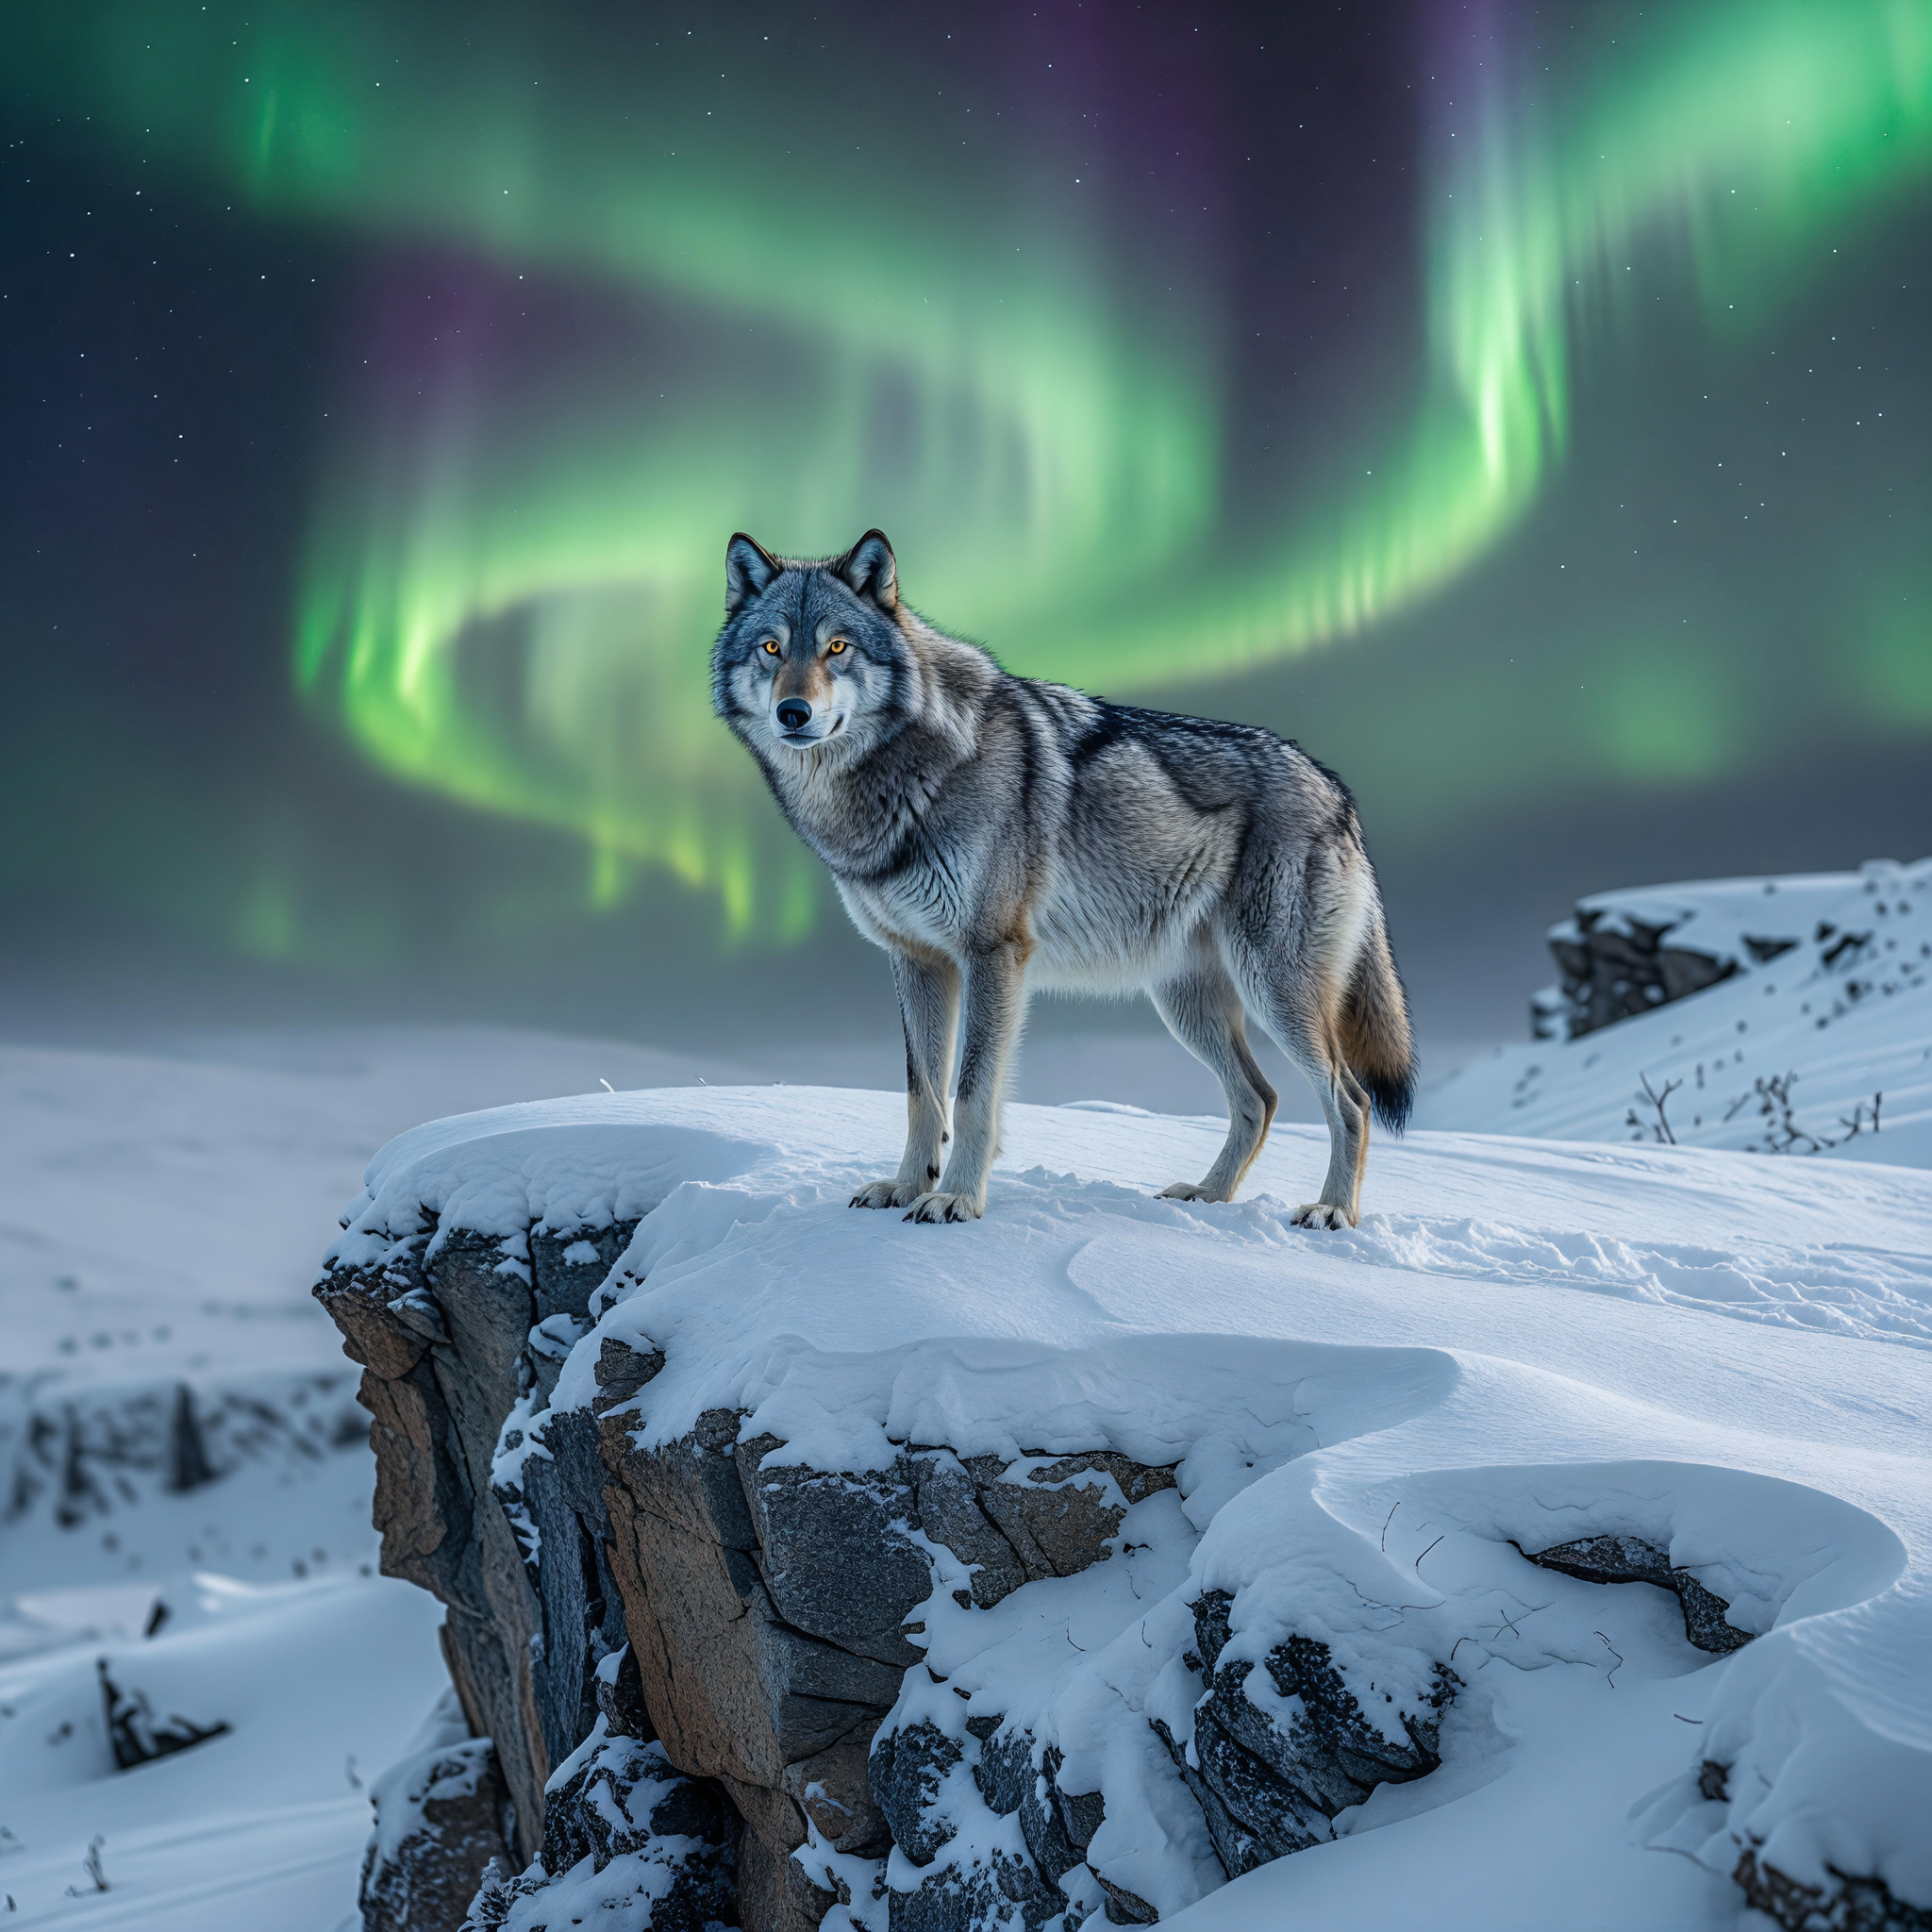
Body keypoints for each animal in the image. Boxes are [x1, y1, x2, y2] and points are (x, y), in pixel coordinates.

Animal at [712, 529, 1416, 1228]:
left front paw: (957, 1200)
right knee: (1260, 1098)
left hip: (1274, 992)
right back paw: (1207, 1197)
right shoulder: (916, 960)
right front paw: (906, 1188)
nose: (793, 712)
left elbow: (972, 1093)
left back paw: (1332, 1211)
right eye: (772, 647)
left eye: (837, 648)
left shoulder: (992, 954)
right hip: (1187, 1004)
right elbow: (922, 1094)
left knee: (1350, 1099)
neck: (905, 776)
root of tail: (1336, 789)